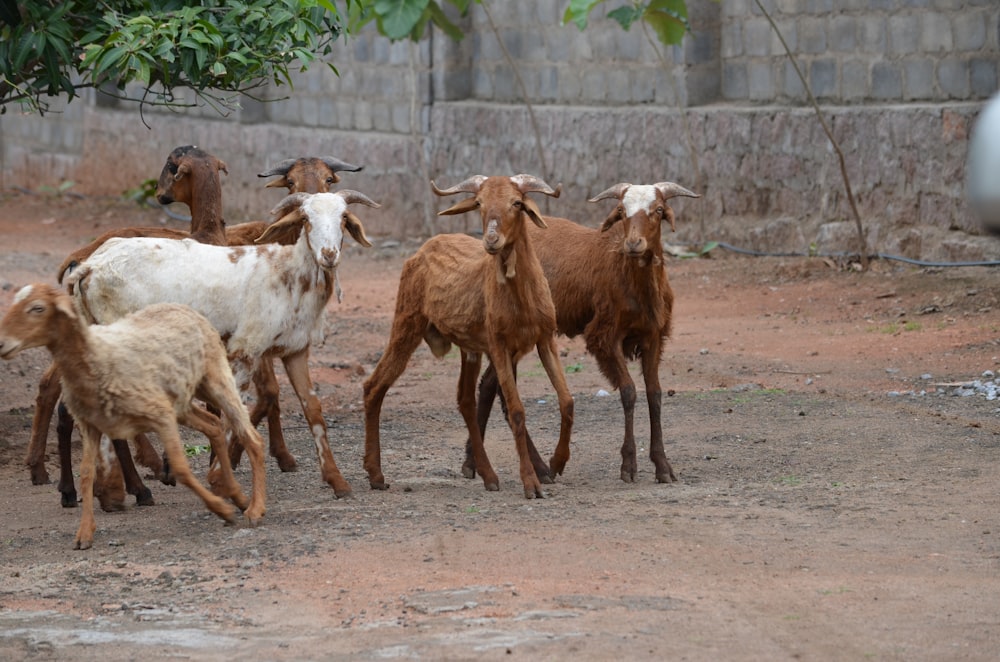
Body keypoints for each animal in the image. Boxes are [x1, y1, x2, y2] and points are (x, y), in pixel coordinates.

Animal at [0, 284, 268, 548]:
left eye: (37, 308)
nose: (1, 344)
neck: (95, 355)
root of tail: (180, 306)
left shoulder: (160, 415)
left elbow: (181, 468)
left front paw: (221, 509)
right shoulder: (91, 424)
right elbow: (86, 474)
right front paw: (85, 532)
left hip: (214, 379)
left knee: (250, 436)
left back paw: (254, 508)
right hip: (181, 399)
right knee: (213, 425)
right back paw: (237, 495)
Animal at [364, 174, 576, 500]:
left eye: (517, 202)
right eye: (479, 203)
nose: (491, 240)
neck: (522, 299)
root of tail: (423, 249)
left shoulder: (544, 340)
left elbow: (566, 401)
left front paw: (556, 463)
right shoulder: (499, 346)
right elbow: (517, 410)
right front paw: (531, 483)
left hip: (469, 348)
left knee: (464, 399)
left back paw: (488, 475)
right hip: (406, 323)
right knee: (374, 386)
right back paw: (375, 474)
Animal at [470, 182, 700, 488]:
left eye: (659, 210)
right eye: (621, 211)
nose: (633, 244)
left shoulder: (653, 337)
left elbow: (655, 394)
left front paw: (662, 465)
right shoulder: (604, 336)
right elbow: (629, 391)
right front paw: (629, 465)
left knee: (487, 386)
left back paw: (473, 465)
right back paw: (538, 468)